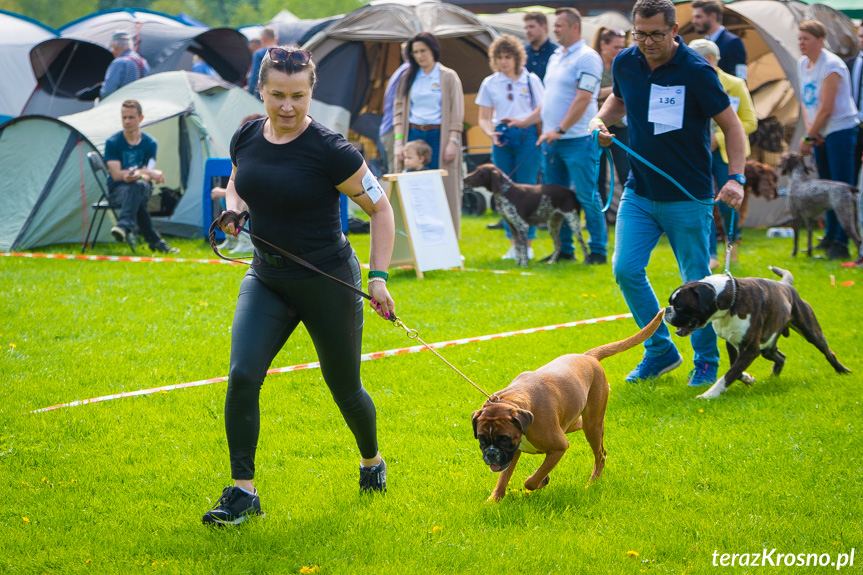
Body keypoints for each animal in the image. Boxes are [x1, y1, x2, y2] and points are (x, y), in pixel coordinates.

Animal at [462, 164, 592, 268]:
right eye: (476, 170)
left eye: (480, 172)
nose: (464, 178)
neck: (506, 191)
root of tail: (572, 192)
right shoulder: (512, 226)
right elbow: (518, 248)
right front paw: (517, 264)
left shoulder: (523, 226)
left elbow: (523, 249)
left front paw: (524, 265)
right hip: (553, 224)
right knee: (558, 245)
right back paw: (552, 262)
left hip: (573, 221)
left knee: (583, 245)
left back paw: (586, 261)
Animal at [472, 308, 668, 502]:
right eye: (481, 438)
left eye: (504, 438)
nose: (491, 453)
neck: (513, 400)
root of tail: (588, 357)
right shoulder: (513, 453)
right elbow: (503, 478)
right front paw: (494, 500)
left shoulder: (559, 447)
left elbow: (532, 481)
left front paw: (540, 480)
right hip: (576, 422)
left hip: (592, 426)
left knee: (600, 454)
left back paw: (592, 483)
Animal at [668, 266, 852, 398]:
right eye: (671, 303)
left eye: (680, 306)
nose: (667, 310)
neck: (730, 299)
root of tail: (786, 286)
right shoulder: (732, 343)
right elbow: (735, 369)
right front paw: (748, 378)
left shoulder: (750, 349)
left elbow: (729, 374)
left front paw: (709, 394)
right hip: (767, 346)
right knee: (780, 357)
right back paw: (772, 379)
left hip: (810, 332)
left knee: (828, 352)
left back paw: (843, 371)